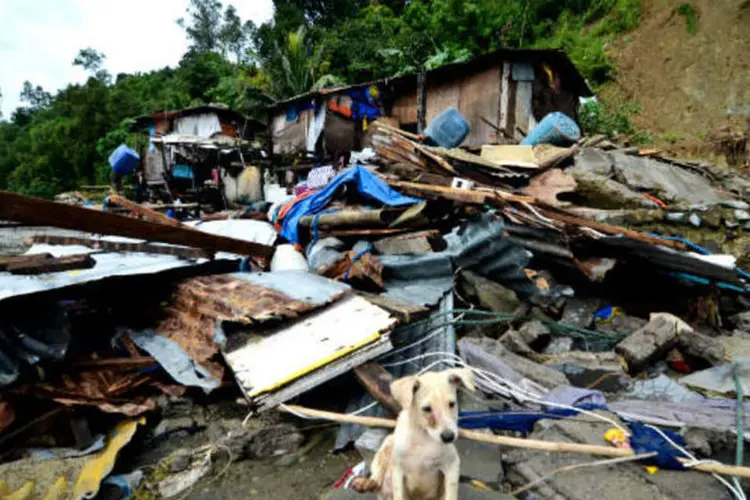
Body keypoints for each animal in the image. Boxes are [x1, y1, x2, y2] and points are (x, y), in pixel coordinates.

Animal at [352, 368, 476, 500]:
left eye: (452, 404)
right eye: (427, 409)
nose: (449, 437)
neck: (423, 436)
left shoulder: (452, 465)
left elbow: (451, 494)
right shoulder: (398, 471)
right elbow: (399, 494)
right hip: (387, 444)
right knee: (377, 478)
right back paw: (365, 483)